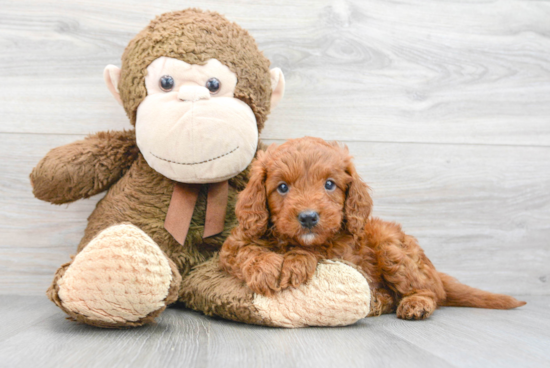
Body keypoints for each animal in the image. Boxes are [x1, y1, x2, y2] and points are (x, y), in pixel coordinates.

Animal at [219, 137, 528, 318]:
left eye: (329, 184)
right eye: (282, 187)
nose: (308, 218)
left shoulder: (344, 252)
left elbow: (318, 251)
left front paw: (295, 262)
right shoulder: (234, 245)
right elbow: (247, 251)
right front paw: (265, 267)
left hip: (390, 247)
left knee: (429, 293)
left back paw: (414, 304)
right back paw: (379, 300)